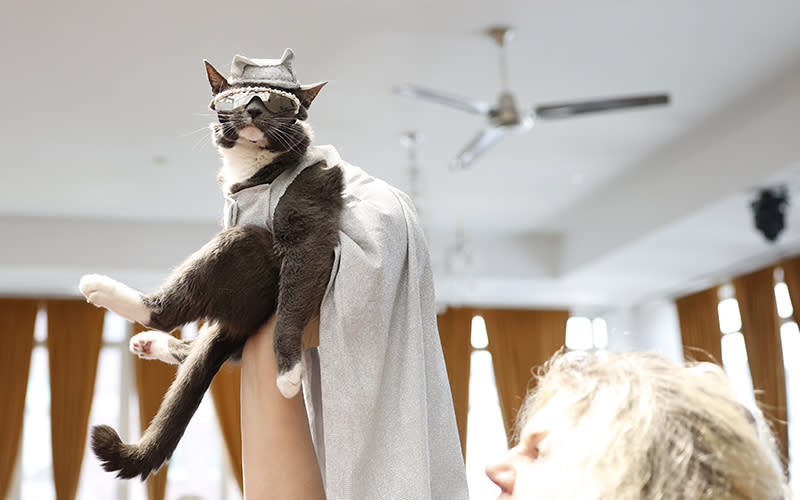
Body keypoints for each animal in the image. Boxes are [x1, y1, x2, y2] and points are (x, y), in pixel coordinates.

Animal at [79, 50, 344, 480]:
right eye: (234, 99)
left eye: (277, 103)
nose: (253, 109)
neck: (251, 171)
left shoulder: (311, 224)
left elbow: (296, 294)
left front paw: (288, 372)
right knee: (202, 343)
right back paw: (148, 341)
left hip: (247, 251)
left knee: (174, 313)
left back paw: (109, 294)